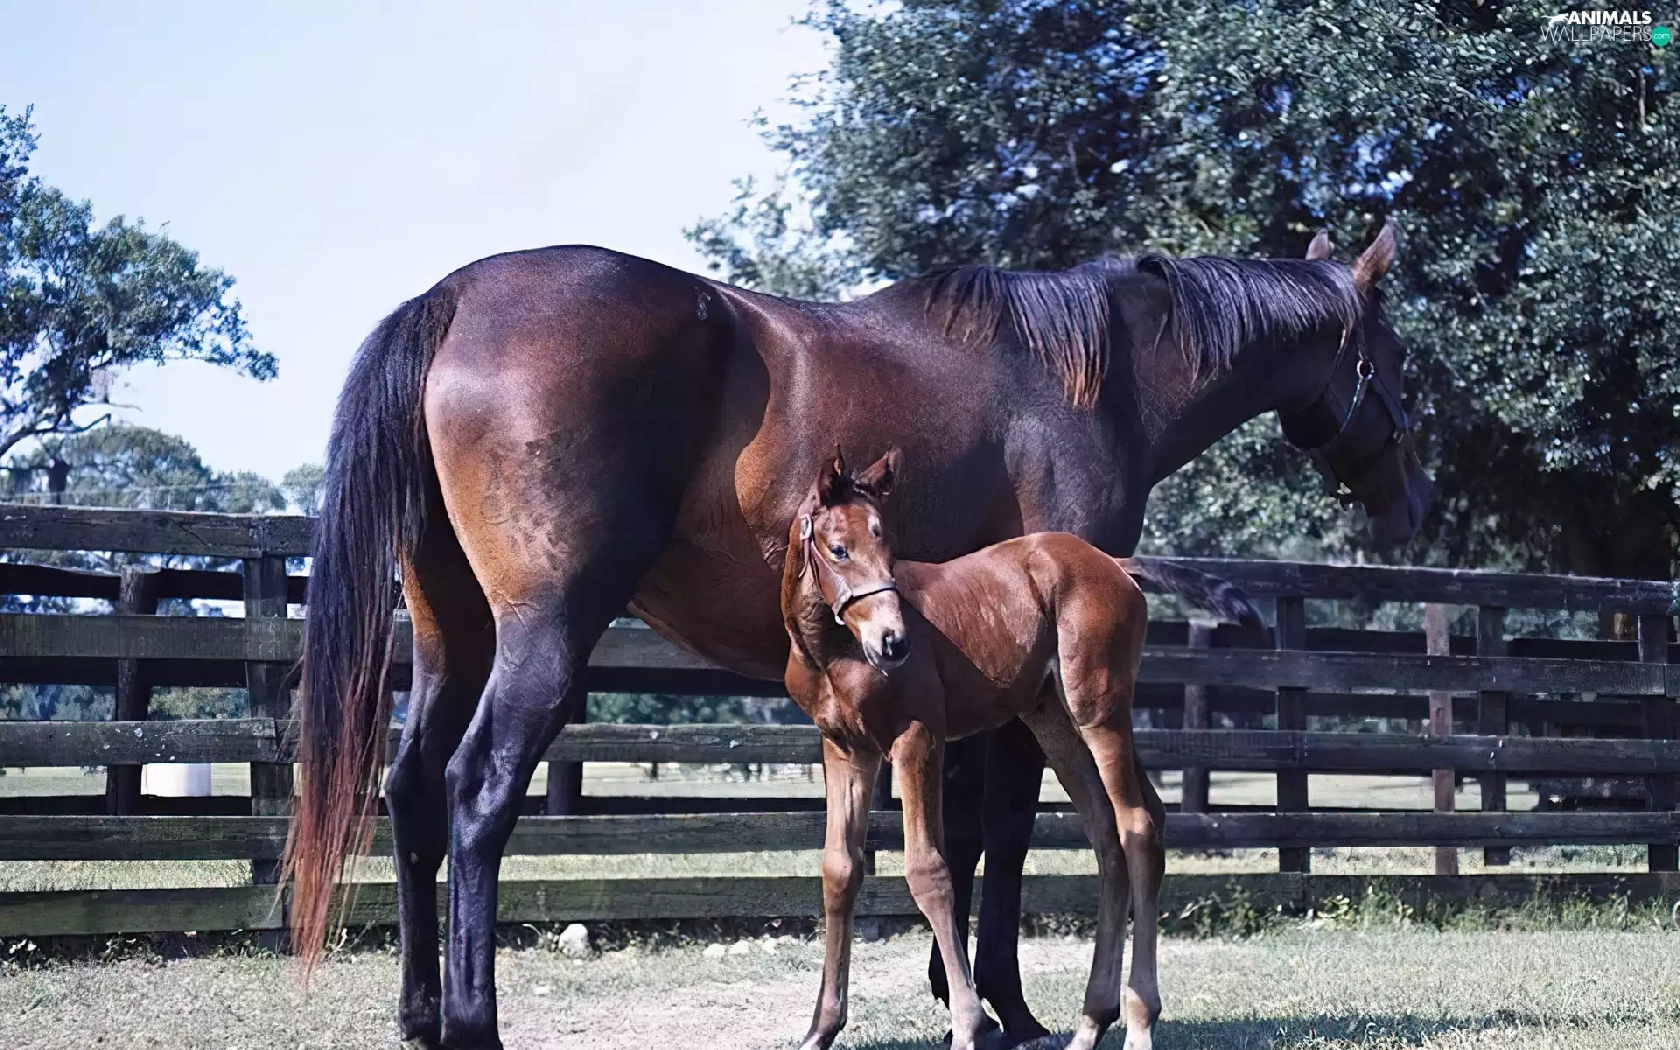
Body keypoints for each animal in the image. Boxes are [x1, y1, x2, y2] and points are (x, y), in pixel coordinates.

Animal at [782, 448, 1164, 1050]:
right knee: (1111, 832)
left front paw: (971, 1025)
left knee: (1137, 827)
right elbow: (840, 870)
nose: (894, 642)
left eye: (889, 543)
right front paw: (821, 1028)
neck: (833, 651)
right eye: (838, 548)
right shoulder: (846, 748)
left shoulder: (917, 737)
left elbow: (929, 871)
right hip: (1052, 719)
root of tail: (1115, 566)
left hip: (1098, 710)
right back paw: (1089, 1024)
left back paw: (1140, 1021)